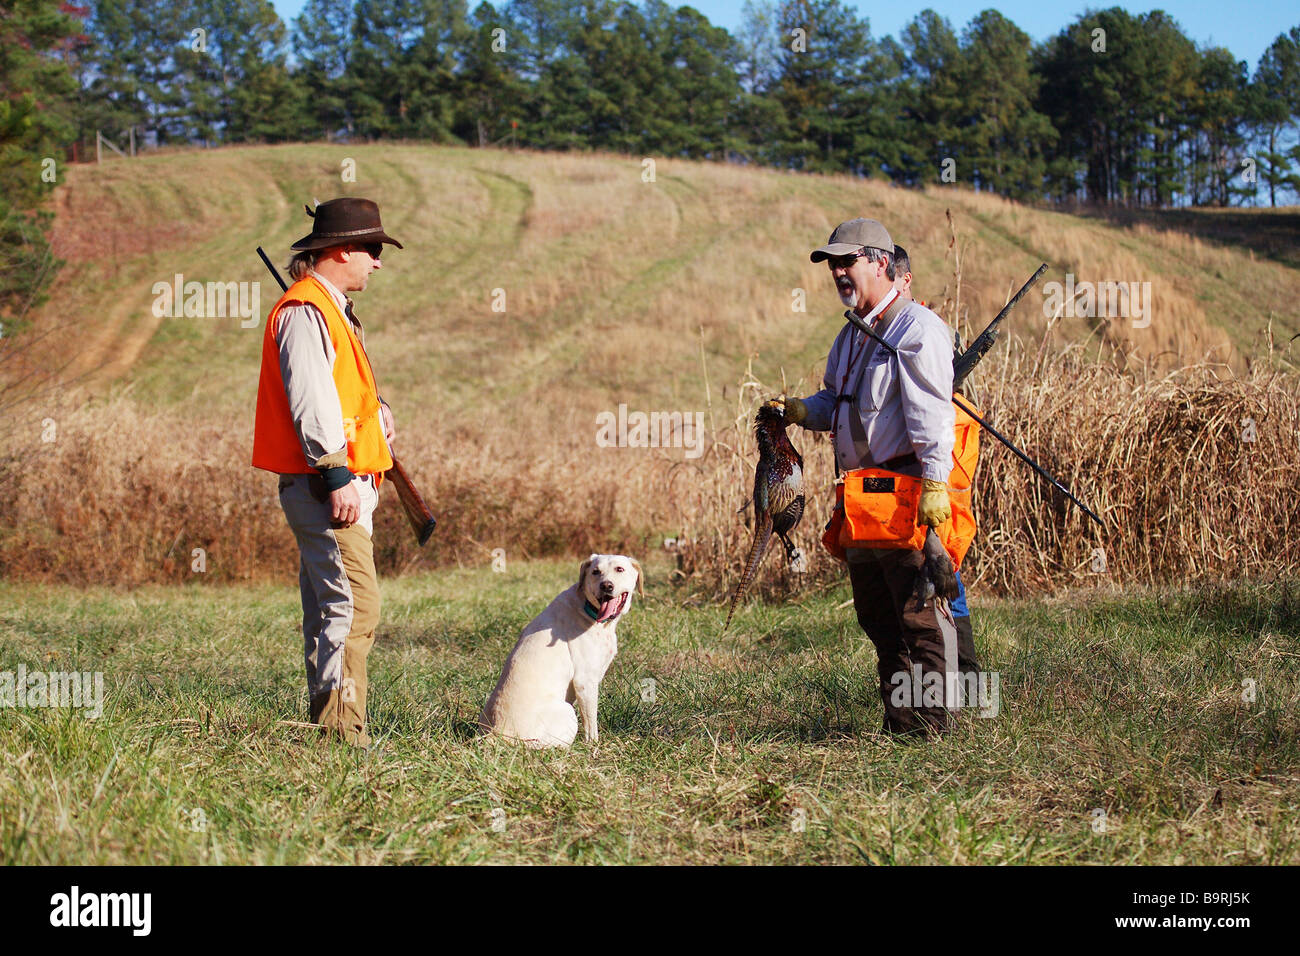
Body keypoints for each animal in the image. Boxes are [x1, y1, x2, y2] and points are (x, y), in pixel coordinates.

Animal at [480, 556, 642, 749]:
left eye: (619, 569)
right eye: (595, 571)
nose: (606, 586)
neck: (587, 608)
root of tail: (496, 734)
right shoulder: (585, 682)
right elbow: (591, 725)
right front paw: (593, 746)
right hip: (567, 712)